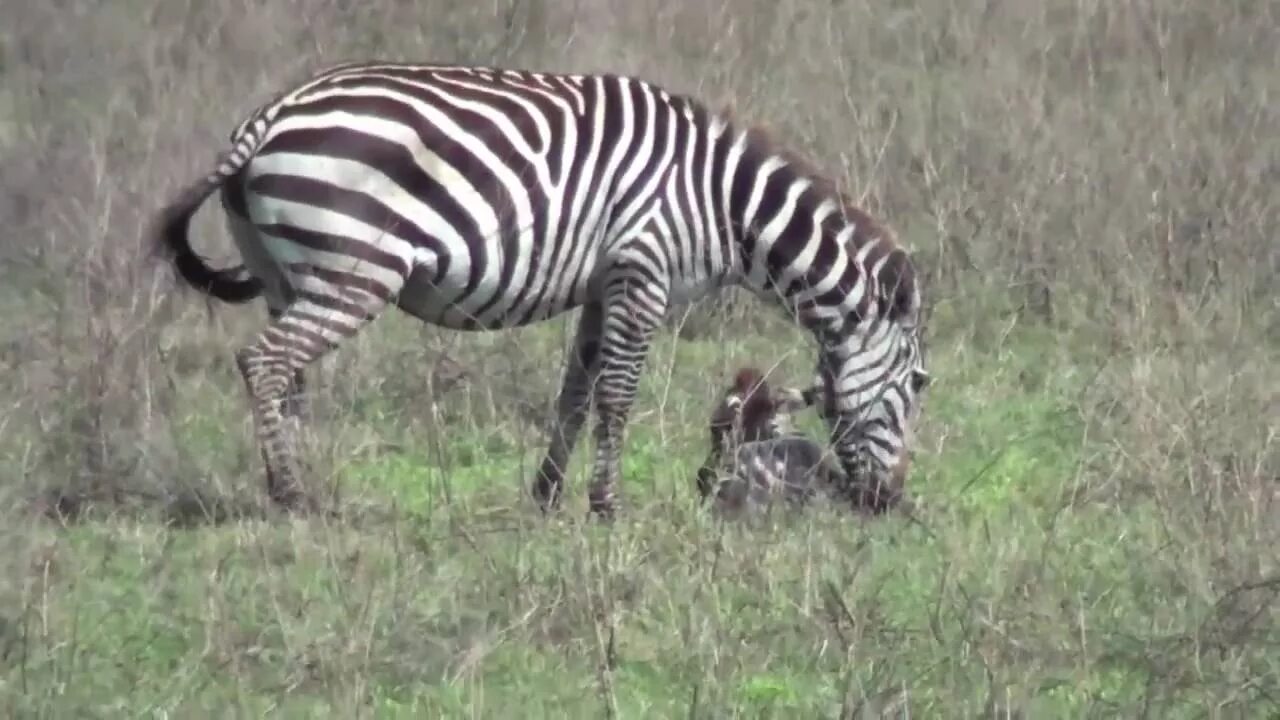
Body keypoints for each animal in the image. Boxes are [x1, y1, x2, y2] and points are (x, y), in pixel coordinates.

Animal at [149, 58, 931, 512]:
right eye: (920, 384)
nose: (887, 502)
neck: (722, 202)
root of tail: (268, 117)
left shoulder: (602, 285)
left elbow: (574, 395)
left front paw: (547, 497)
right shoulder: (641, 272)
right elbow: (617, 398)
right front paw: (605, 507)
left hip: (288, 272)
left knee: (291, 375)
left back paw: (307, 485)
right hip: (356, 269)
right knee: (266, 361)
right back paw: (292, 495)